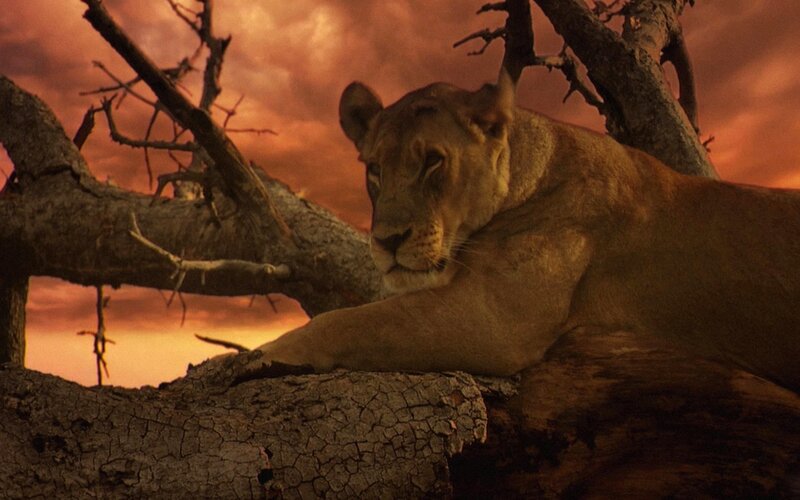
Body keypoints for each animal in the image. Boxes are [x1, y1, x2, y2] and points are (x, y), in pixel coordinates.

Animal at [240, 73, 800, 392]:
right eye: (374, 170)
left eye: (433, 162)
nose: (388, 241)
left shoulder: (496, 319)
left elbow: (359, 321)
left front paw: (262, 355)